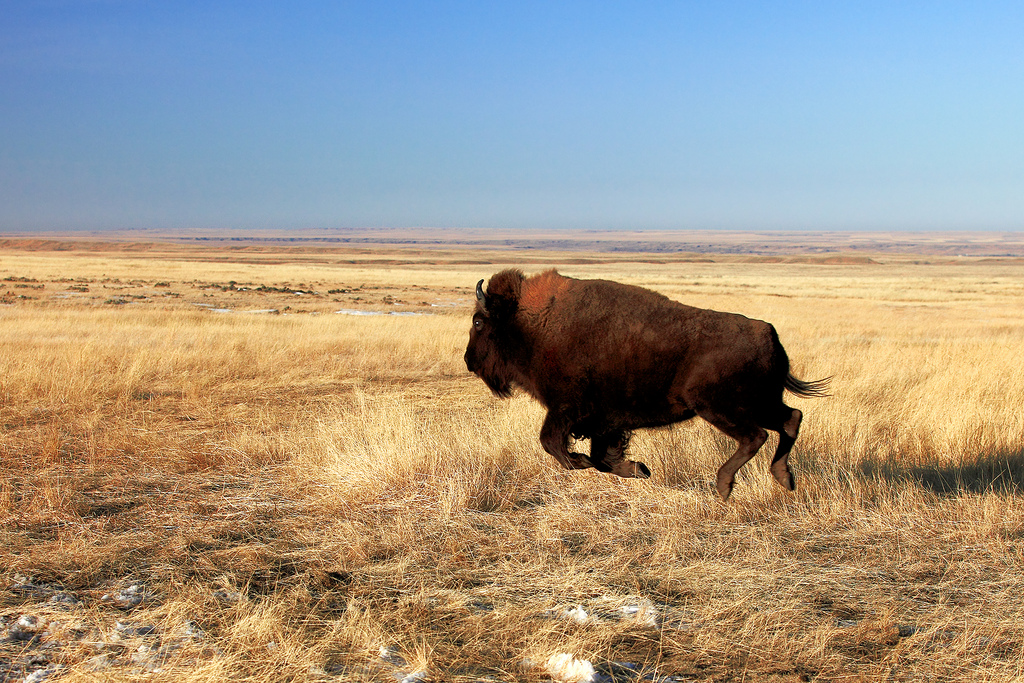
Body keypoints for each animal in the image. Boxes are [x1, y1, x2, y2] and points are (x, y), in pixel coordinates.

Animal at [468, 270, 827, 499]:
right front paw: (639, 468)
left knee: (756, 436)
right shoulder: (605, 422)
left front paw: (583, 462)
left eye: (478, 321)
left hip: (719, 407)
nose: (468, 360)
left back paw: (724, 487)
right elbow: (604, 459)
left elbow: (552, 443)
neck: (533, 323)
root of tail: (768, 333)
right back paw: (785, 479)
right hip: (758, 403)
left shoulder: (567, 409)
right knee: (791, 419)